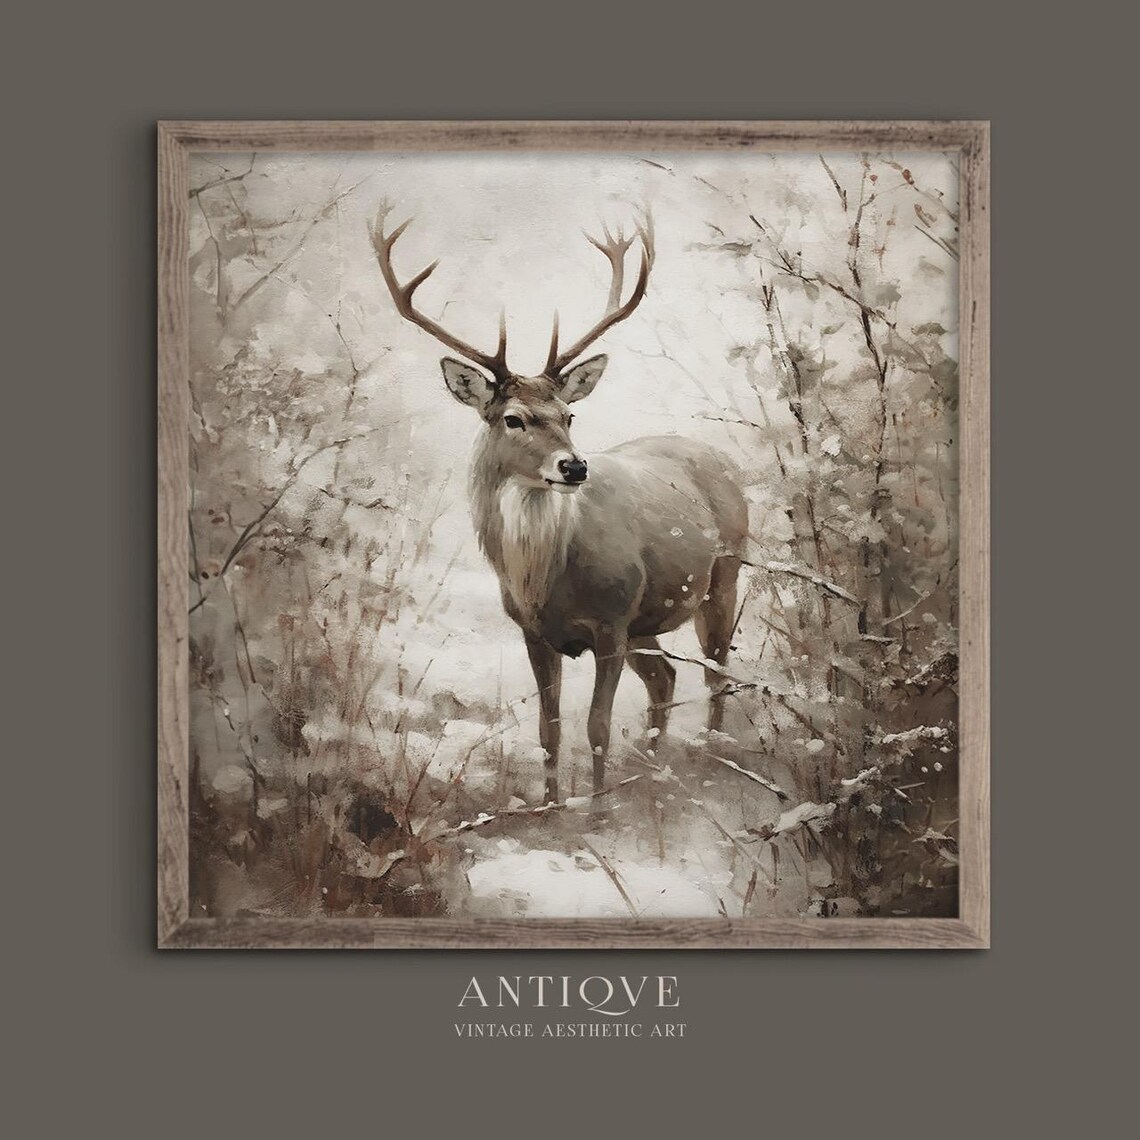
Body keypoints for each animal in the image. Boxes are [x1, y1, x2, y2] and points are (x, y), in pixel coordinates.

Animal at [369, 206, 748, 804]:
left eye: (569, 415)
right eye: (513, 418)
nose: (574, 467)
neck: (546, 577)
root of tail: (719, 457)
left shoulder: (612, 621)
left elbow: (596, 726)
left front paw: (597, 808)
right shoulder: (535, 631)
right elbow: (549, 728)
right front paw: (551, 806)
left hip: (724, 574)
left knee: (715, 671)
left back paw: (712, 756)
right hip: (648, 620)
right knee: (666, 678)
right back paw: (654, 766)